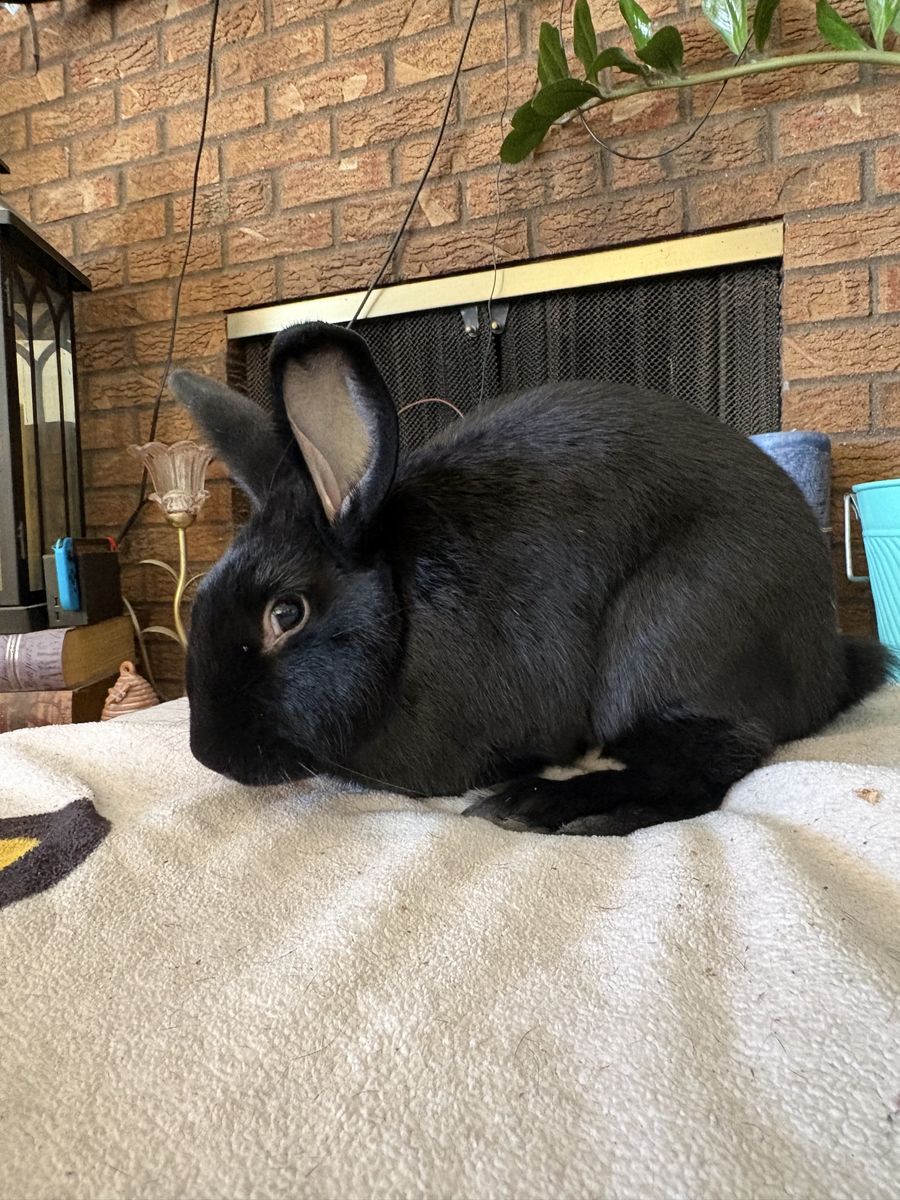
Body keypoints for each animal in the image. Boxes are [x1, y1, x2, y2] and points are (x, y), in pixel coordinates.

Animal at [170, 321, 892, 836]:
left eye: (286, 613)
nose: (208, 754)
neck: (402, 615)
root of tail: (830, 665)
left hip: (671, 635)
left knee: (710, 766)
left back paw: (546, 808)